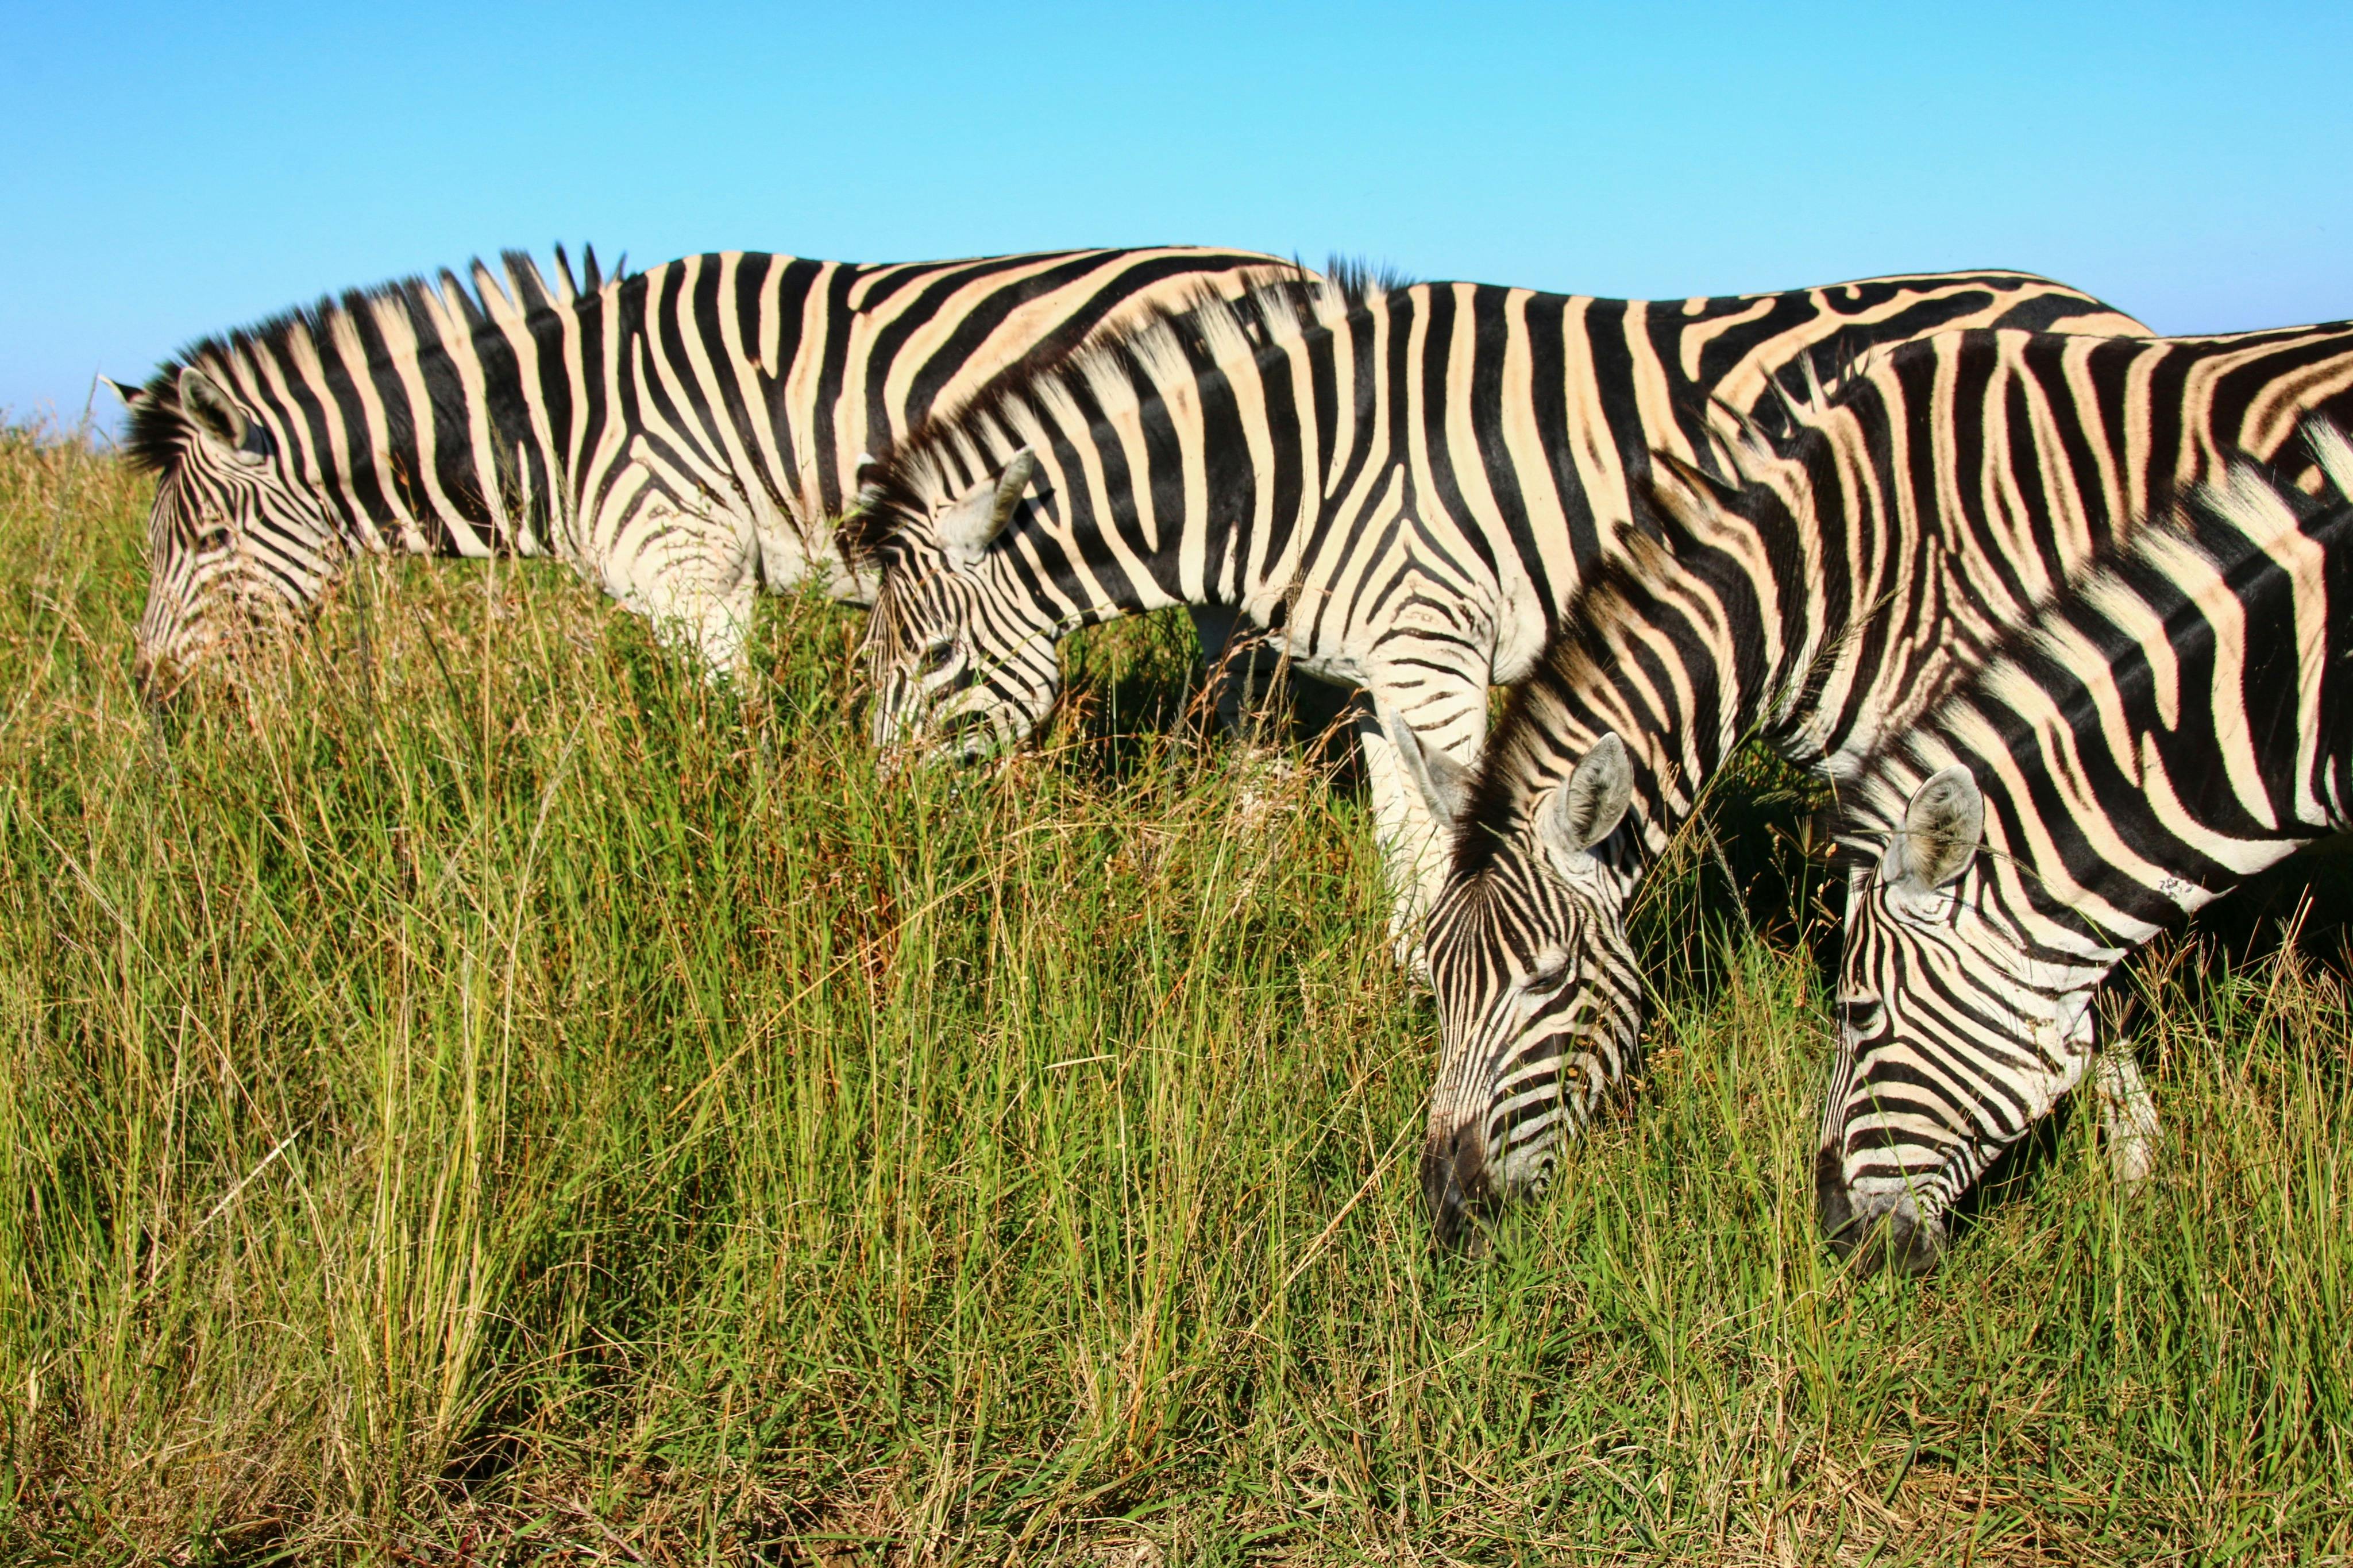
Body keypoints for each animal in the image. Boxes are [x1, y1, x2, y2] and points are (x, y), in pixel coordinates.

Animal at [111, 244, 1301, 697]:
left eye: (205, 543)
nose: (154, 696)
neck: (559, 423)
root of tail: (1282, 269)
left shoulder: (700, 580)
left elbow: (737, 749)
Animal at [844, 269, 2147, 956]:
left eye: (938, 653)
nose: (880, 836)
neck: (1298, 467)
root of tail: (2105, 312)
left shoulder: (1435, 655)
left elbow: (1458, 850)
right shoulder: (1381, 679)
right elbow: (1403, 855)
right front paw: (1401, 994)